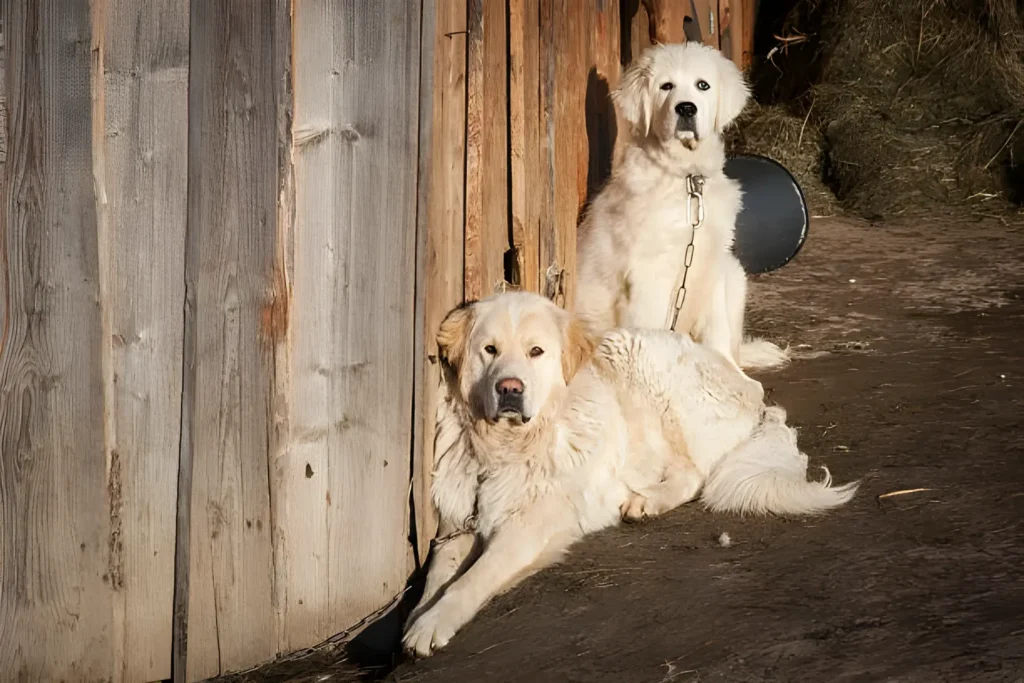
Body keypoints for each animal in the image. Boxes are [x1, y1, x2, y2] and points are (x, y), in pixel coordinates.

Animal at [399, 294, 856, 655]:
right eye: (489, 350)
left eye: (536, 352)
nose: (510, 389)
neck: (506, 448)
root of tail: (750, 386)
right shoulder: (456, 524)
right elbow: (438, 575)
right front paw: (415, 618)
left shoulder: (529, 526)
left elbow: (471, 580)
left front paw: (431, 624)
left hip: (644, 369)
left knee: (696, 474)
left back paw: (647, 500)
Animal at [581, 41, 786, 374]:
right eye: (666, 87)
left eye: (703, 85)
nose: (686, 108)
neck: (686, 181)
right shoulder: (648, 274)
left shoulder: (711, 260)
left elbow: (718, 332)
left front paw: (728, 373)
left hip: (735, 273)